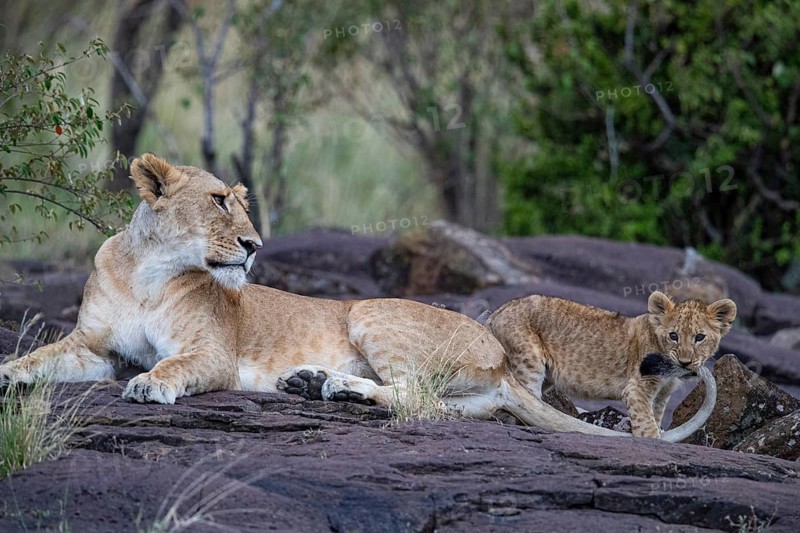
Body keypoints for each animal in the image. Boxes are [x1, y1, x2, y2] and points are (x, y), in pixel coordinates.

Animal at [486, 292, 735, 438]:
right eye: (673, 336)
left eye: (699, 337)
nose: (685, 361)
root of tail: (497, 312)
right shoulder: (636, 389)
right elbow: (646, 426)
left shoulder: (662, 394)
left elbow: (654, 417)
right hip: (528, 362)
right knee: (527, 401)